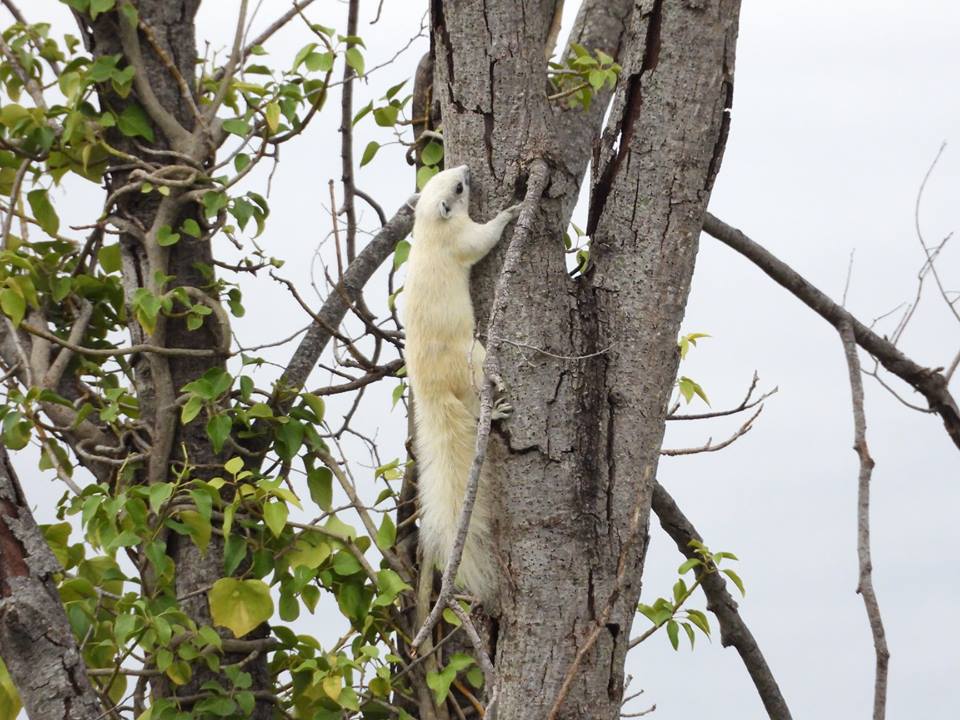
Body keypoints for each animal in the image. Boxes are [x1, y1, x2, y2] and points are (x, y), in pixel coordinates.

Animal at [402, 166, 520, 604]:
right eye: (457, 188)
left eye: (447, 176)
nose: (467, 170)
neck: (428, 229)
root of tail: (430, 390)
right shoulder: (461, 239)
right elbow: (483, 240)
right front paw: (510, 212)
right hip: (474, 358)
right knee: (474, 401)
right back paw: (497, 406)